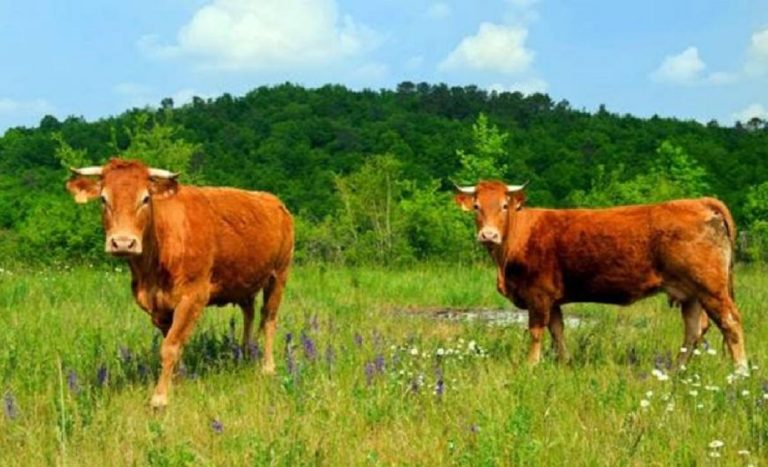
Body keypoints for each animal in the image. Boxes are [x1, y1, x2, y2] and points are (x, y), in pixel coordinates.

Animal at [67, 159, 294, 408]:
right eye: (103, 199)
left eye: (145, 198)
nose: (123, 243)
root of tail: (274, 200)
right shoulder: (159, 307)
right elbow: (173, 345)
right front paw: (179, 383)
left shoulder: (193, 297)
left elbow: (170, 347)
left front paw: (160, 397)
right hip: (244, 281)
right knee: (249, 314)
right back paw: (243, 354)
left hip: (279, 274)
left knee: (269, 319)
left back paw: (267, 367)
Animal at [452, 181, 748, 374]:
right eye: (476, 206)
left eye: (504, 205)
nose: (488, 235)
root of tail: (699, 201)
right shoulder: (554, 299)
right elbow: (558, 330)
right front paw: (566, 363)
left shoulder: (538, 296)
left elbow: (536, 332)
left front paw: (530, 365)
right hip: (690, 294)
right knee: (694, 329)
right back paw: (675, 371)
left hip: (711, 289)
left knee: (730, 323)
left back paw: (740, 373)